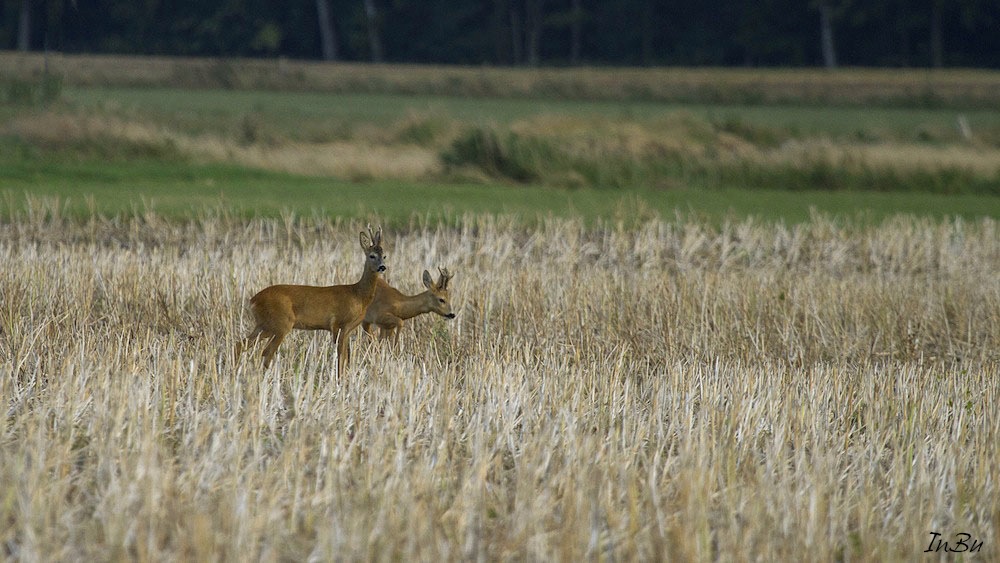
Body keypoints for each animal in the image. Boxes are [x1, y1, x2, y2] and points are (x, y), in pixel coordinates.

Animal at [238, 226, 386, 378]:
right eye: (372, 256)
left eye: (384, 255)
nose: (382, 267)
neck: (358, 295)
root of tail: (253, 300)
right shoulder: (339, 325)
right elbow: (340, 357)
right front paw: (339, 379)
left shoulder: (348, 329)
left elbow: (345, 358)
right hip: (281, 323)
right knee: (266, 352)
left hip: (263, 324)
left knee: (241, 344)